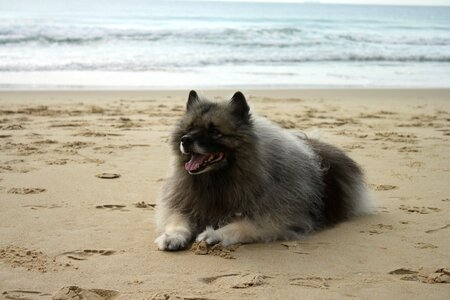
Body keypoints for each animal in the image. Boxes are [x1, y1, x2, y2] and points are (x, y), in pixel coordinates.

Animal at [155, 90, 372, 250]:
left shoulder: (281, 217)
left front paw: (215, 233)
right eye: (189, 129)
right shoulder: (184, 202)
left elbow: (244, 224)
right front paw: (172, 236)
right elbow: (178, 219)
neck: (220, 179)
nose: (185, 140)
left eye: (214, 131)